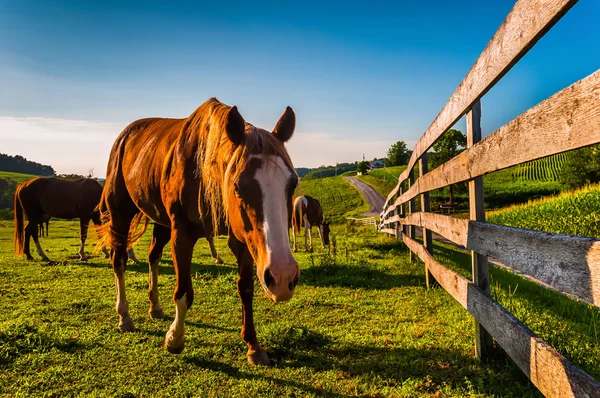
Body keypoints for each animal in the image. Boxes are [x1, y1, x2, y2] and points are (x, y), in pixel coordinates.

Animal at [98, 97, 300, 364]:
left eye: (293, 183)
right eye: (238, 185)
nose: (283, 277)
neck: (204, 173)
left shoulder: (242, 239)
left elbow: (246, 289)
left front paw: (253, 346)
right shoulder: (182, 234)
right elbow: (184, 292)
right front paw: (174, 339)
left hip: (162, 222)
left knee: (153, 255)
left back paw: (155, 307)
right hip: (120, 213)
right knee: (119, 260)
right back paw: (124, 316)